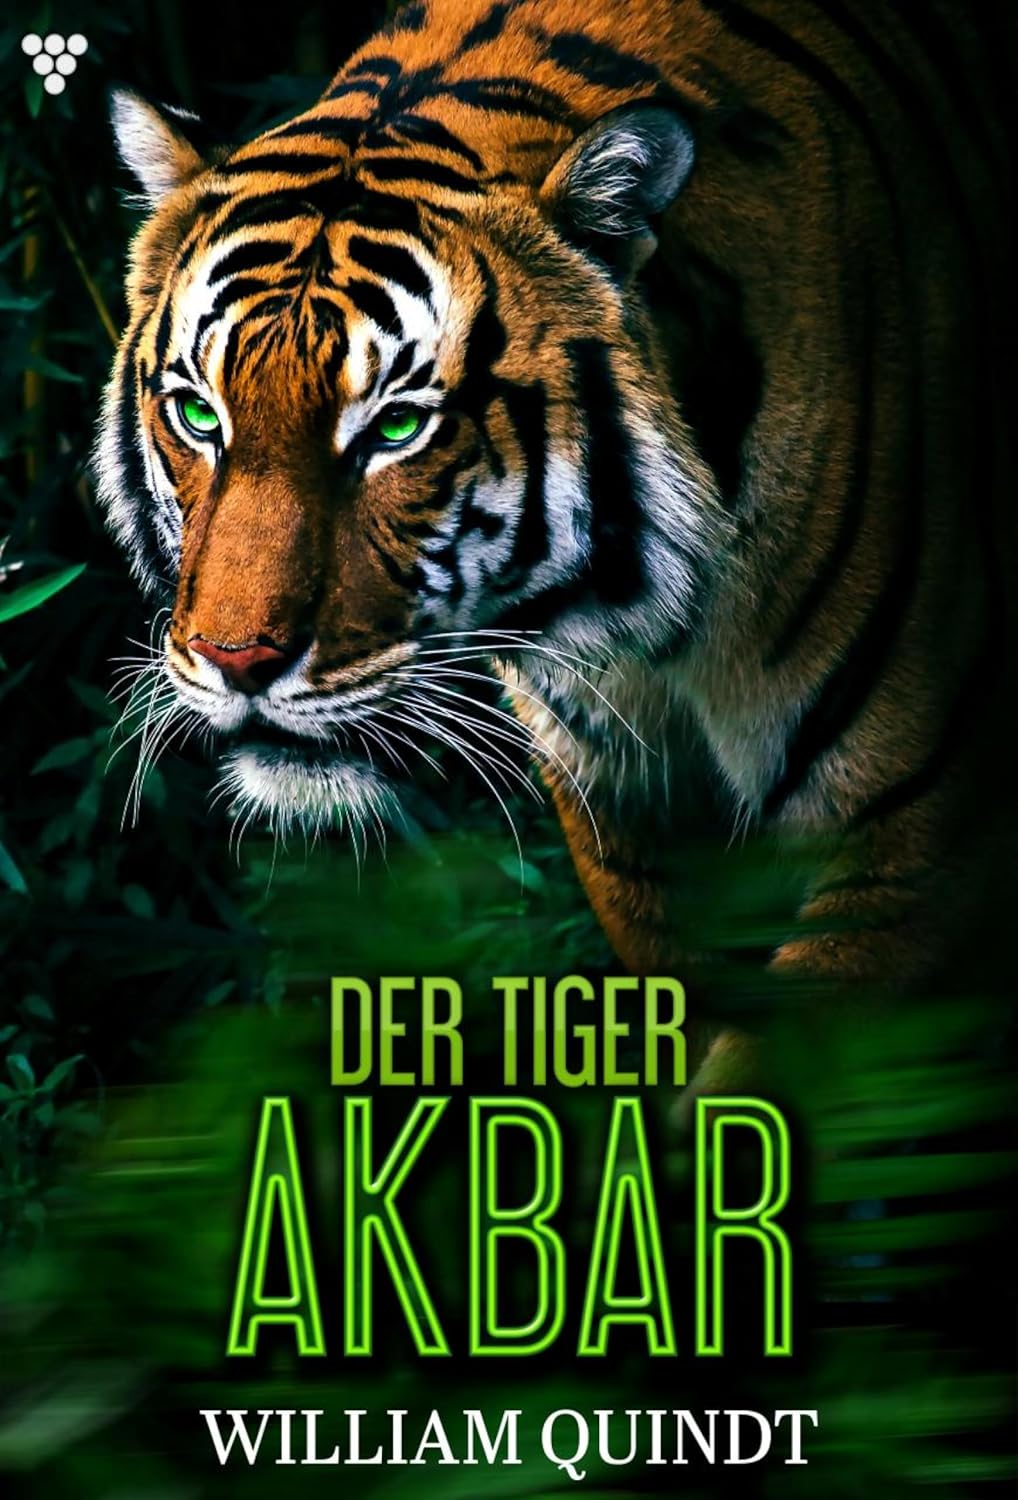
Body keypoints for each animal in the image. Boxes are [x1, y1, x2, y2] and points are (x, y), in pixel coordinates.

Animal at [96, 0, 1014, 1015]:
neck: (661, 626)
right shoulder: (635, 825)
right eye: (198, 414)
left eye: (397, 427)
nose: (237, 663)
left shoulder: (912, 829)